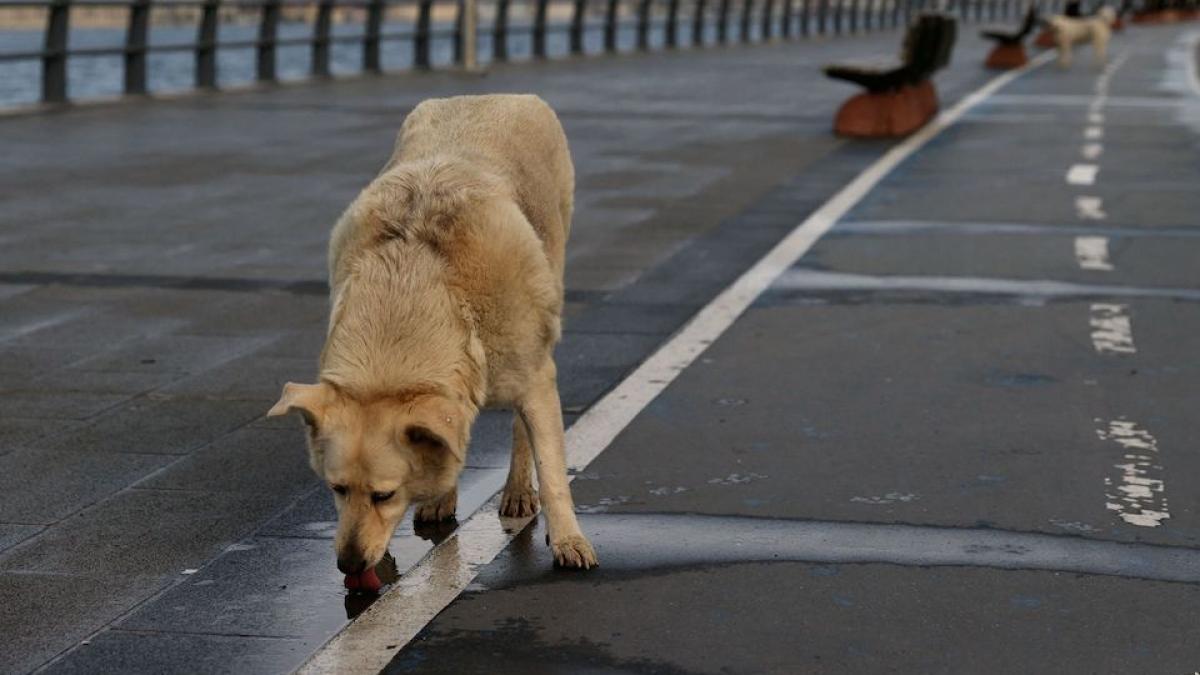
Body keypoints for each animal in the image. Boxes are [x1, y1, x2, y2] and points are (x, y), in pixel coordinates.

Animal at [266, 94, 595, 578]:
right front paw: (440, 494)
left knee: (520, 426)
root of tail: (498, 96)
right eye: (337, 489)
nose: (348, 565)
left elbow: (552, 470)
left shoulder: (534, 378)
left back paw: (518, 491)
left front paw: (569, 539)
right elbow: (448, 439)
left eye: (384, 495)